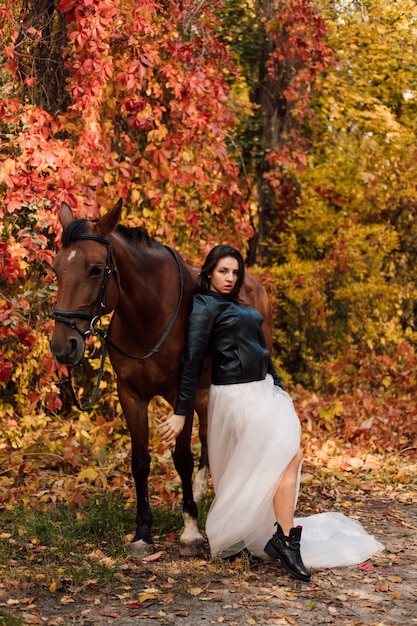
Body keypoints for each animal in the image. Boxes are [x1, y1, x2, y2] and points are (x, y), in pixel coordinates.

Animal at [49, 200, 272, 556]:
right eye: (57, 269)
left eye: (96, 269)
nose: (62, 346)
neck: (149, 317)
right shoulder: (131, 396)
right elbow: (140, 461)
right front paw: (143, 532)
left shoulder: (182, 393)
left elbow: (181, 457)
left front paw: (191, 530)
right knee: (209, 434)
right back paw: (203, 490)